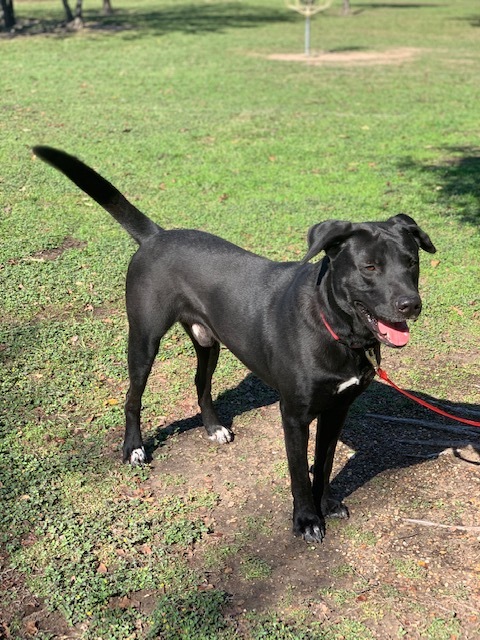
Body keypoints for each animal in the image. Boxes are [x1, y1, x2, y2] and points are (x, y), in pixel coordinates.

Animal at [31, 148, 434, 544]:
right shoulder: (294, 415)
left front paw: (327, 503)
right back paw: (133, 448)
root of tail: (156, 236)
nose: (410, 304)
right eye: (370, 267)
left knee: (201, 384)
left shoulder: (338, 409)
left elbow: (324, 461)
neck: (336, 328)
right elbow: (299, 473)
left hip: (208, 341)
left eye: (411, 262)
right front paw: (306, 519)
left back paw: (214, 428)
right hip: (144, 339)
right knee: (133, 396)